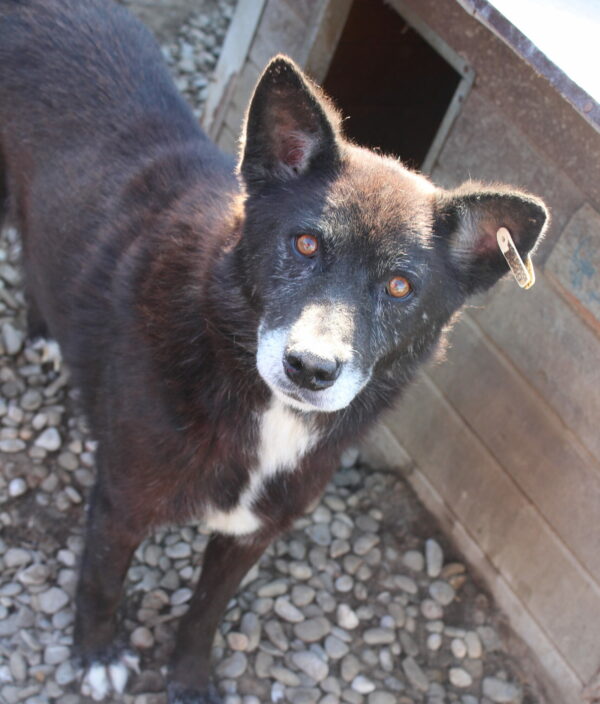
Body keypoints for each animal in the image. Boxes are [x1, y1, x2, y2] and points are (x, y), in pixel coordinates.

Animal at [0, 1, 548, 700]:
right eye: (306, 244)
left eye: (400, 286)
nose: (310, 369)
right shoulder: (119, 503)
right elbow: (100, 583)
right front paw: (96, 655)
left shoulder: (251, 534)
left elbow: (205, 614)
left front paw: (189, 679)